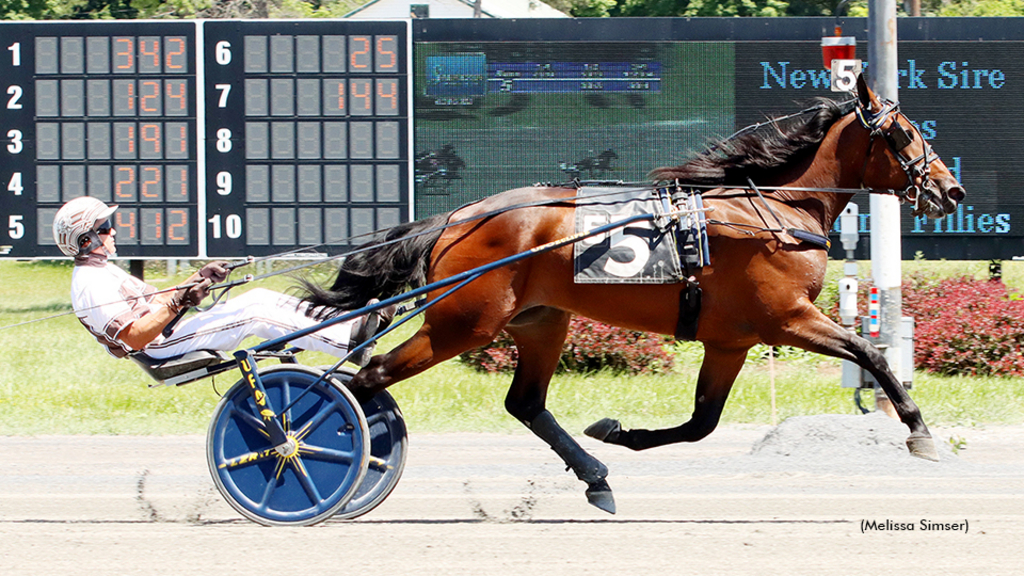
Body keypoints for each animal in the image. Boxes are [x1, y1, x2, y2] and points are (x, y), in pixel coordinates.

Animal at [299, 76, 962, 510]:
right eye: (906, 134)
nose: (950, 190)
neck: (772, 211)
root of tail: (457, 218)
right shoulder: (787, 320)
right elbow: (872, 353)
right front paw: (920, 433)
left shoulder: (731, 341)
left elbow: (701, 423)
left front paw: (618, 432)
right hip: (462, 323)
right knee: (365, 378)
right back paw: (311, 451)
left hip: (540, 321)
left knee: (525, 403)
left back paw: (596, 476)